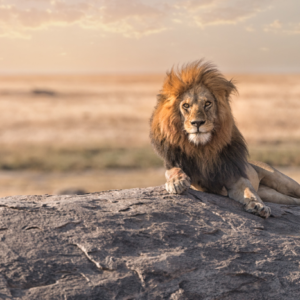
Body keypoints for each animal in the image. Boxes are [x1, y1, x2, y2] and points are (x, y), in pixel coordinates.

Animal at [151, 59, 300, 218]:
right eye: (186, 105)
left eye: (207, 104)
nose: (197, 123)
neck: (203, 148)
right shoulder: (183, 170)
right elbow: (172, 170)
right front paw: (177, 182)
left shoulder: (234, 175)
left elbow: (249, 191)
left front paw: (258, 205)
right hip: (272, 194)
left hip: (282, 181)